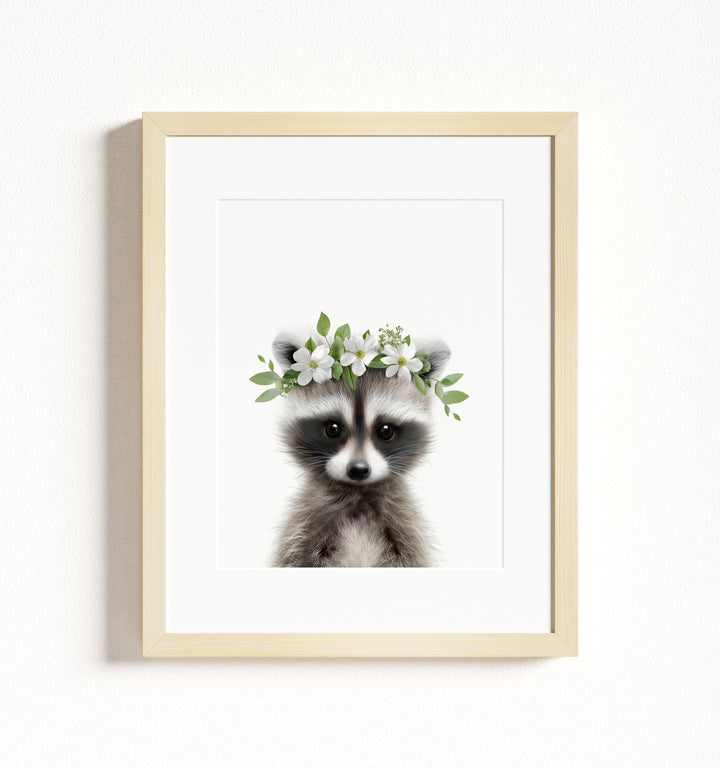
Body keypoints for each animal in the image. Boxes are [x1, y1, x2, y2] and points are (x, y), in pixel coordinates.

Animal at [270, 332, 450, 567]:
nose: (358, 469)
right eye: (333, 428)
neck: (358, 497)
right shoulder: (305, 526)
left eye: (385, 431)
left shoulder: (405, 527)